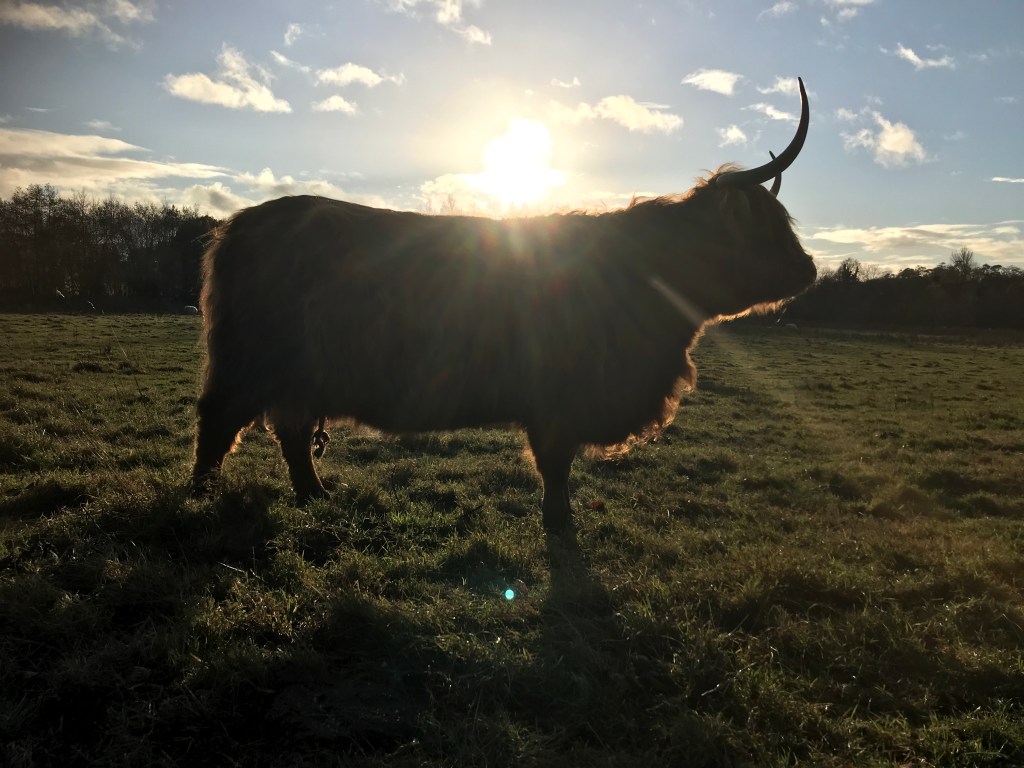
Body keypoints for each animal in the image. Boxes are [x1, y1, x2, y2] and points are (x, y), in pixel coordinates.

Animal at [191, 78, 816, 531]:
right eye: (761, 230)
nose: (809, 270)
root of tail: (241, 223)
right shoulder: (557, 396)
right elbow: (554, 463)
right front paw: (560, 523)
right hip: (247, 363)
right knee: (219, 421)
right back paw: (202, 496)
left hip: (296, 375)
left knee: (292, 435)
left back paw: (316, 495)